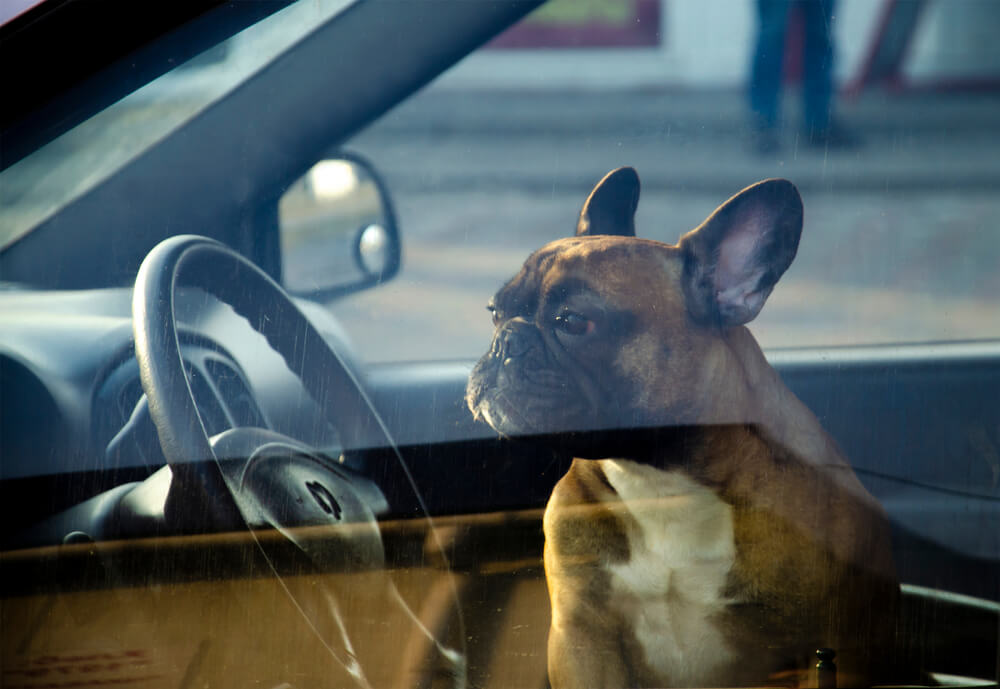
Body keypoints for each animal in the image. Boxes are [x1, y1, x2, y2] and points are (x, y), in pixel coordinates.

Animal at [464, 168, 916, 688]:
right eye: (494, 312)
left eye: (573, 321)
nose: (506, 340)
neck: (661, 480)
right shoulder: (583, 636)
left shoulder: (831, 649)